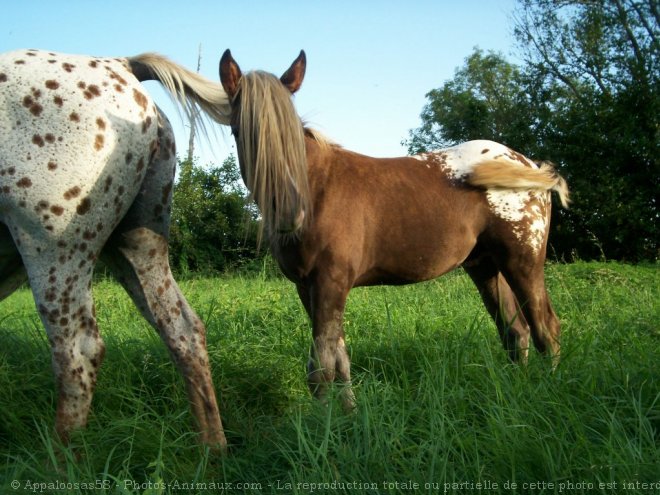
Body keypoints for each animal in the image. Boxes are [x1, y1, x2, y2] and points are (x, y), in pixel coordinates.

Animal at [0, 48, 232, 448]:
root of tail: (119, 64)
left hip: (53, 251)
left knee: (79, 355)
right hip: (135, 247)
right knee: (184, 331)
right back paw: (213, 451)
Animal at [219, 49, 568, 406]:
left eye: (292, 135)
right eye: (238, 131)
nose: (290, 213)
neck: (317, 189)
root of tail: (528, 164)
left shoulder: (330, 282)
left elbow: (322, 370)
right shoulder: (308, 287)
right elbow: (340, 360)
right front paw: (350, 414)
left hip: (522, 262)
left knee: (546, 328)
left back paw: (550, 390)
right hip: (485, 265)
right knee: (516, 330)